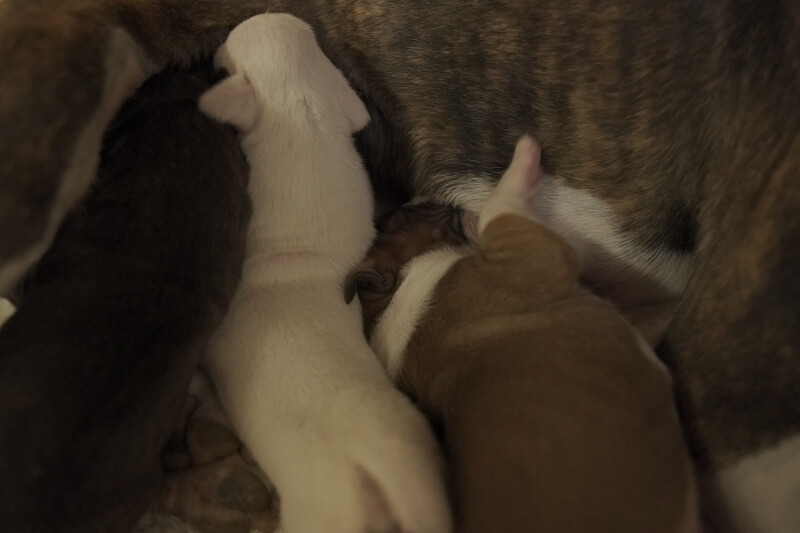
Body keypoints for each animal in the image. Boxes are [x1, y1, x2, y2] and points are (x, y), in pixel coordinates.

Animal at [350, 136, 700, 532]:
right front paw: (524, 157)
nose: (414, 197)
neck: (399, 296)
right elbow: (499, 209)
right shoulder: (528, 250)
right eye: (394, 219)